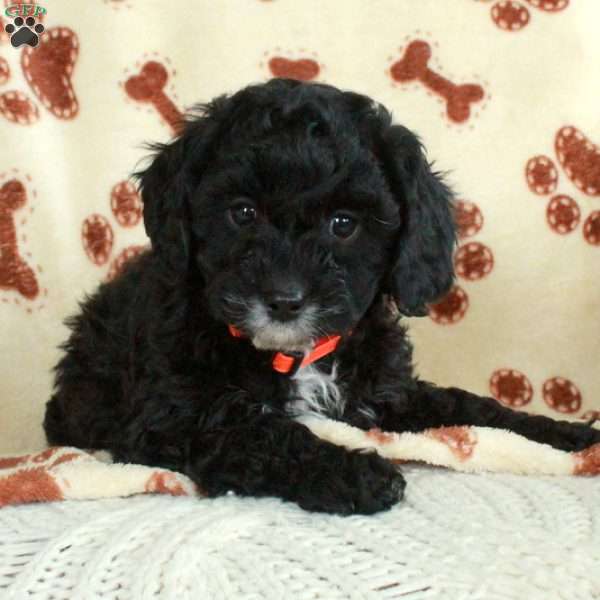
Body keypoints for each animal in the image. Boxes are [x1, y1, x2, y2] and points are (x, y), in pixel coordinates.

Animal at [45, 77, 600, 512]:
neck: (296, 357)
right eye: (242, 213)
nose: (285, 300)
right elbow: (262, 434)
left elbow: (473, 408)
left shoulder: (386, 391)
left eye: (344, 224)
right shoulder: (170, 419)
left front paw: (571, 436)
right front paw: (357, 474)